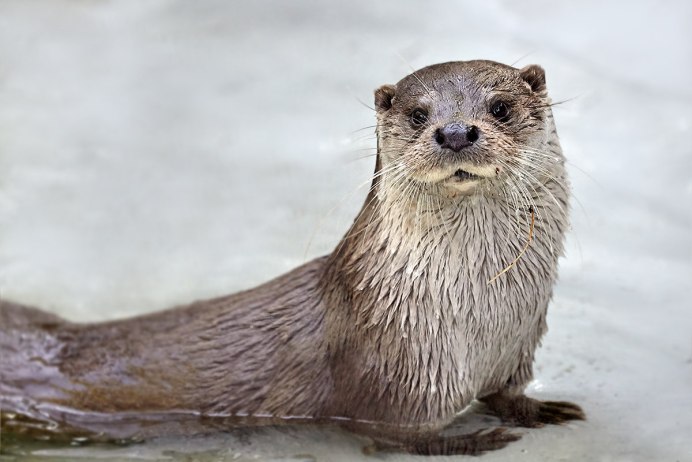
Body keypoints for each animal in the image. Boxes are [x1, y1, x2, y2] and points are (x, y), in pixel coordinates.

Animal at [0, 60, 584, 456]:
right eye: (419, 115)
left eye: (500, 107)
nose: (456, 131)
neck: (483, 322)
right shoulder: (395, 382)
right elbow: (402, 439)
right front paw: (477, 438)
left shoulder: (516, 351)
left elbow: (507, 393)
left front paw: (537, 409)